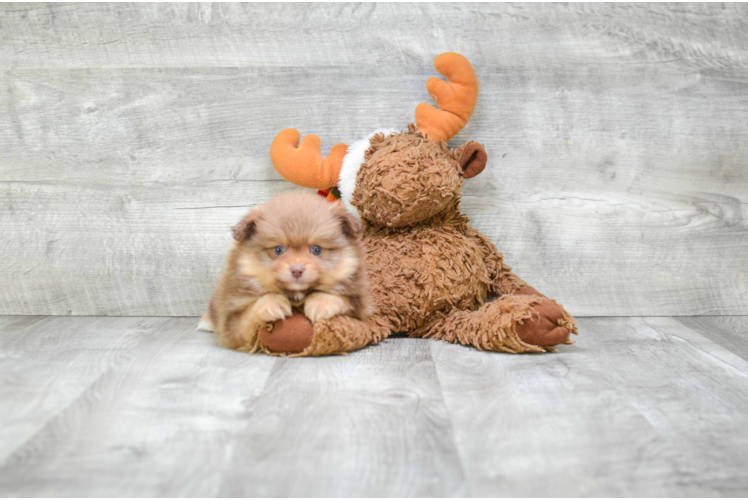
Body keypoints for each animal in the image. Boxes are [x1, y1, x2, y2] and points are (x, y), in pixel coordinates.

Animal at [199, 191, 368, 352]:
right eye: (278, 250)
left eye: (317, 250)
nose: (297, 270)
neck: (296, 296)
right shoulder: (231, 323)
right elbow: (248, 316)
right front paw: (273, 303)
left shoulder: (362, 309)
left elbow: (344, 299)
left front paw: (320, 303)